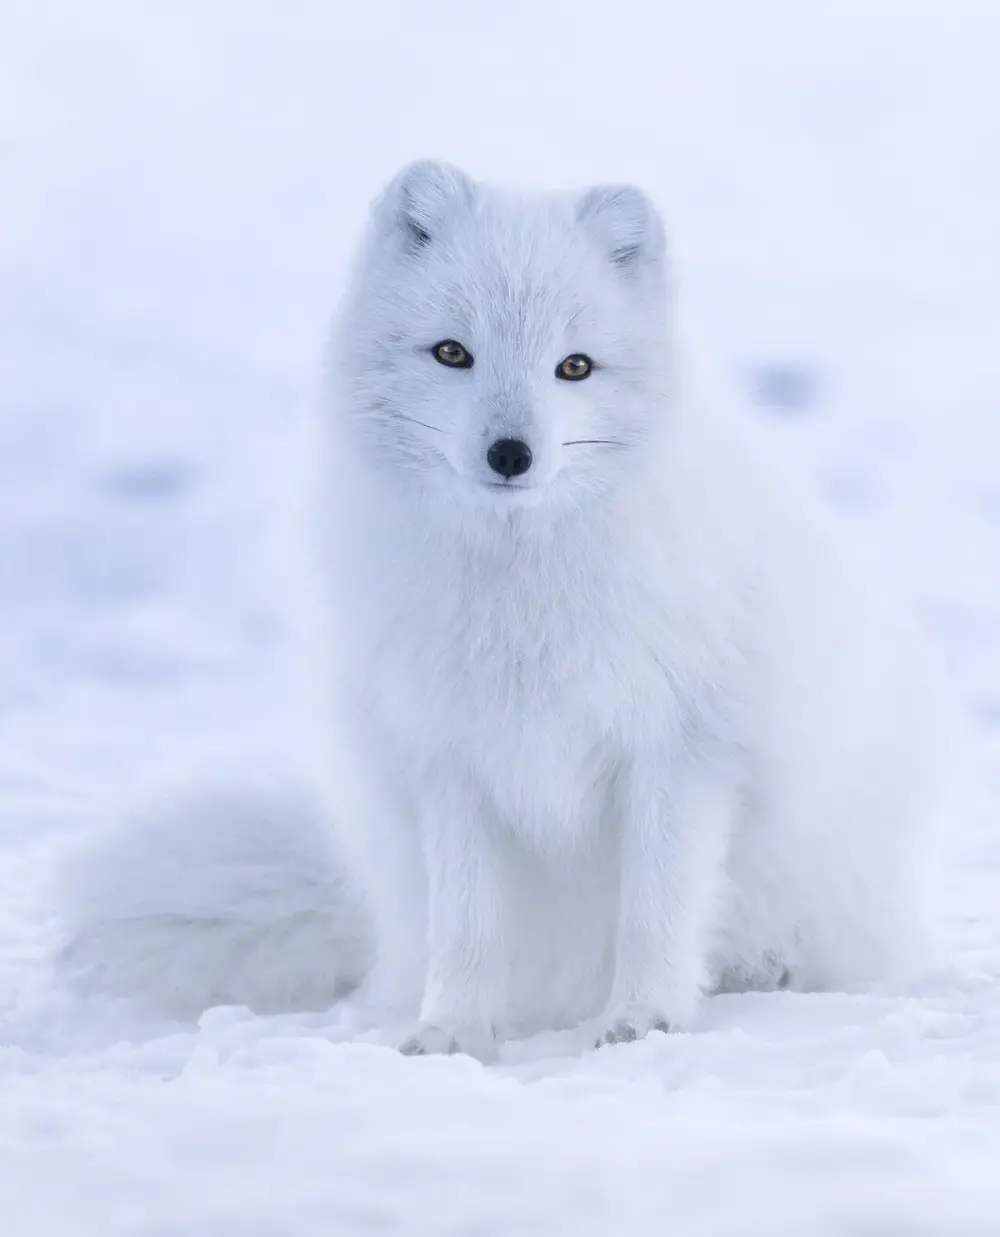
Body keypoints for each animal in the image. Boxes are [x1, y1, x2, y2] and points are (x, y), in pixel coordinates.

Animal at [58, 161, 952, 1060]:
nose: (511, 453)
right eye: (453, 352)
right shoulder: (450, 757)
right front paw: (451, 1030)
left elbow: (656, 908)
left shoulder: (681, 751)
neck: (519, 589)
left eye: (575, 367)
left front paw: (645, 1019)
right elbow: (468, 925)